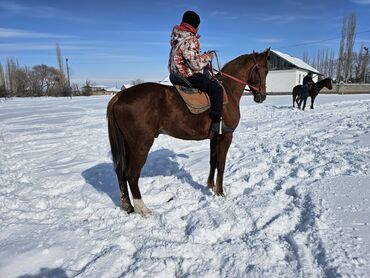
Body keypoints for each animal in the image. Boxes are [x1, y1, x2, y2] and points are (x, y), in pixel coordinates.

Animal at [105, 48, 270, 216]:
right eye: (265, 70)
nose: (262, 96)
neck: (228, 91)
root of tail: (120, 96)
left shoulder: (214, 137)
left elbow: (213, 161)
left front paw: (210, 186)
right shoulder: (226, 136)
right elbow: (221, 164)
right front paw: (220, 192)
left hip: (127, 144)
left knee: (121, 172)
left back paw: (128, 206)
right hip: (140, 144)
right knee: (131, 175)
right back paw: (142, 208)